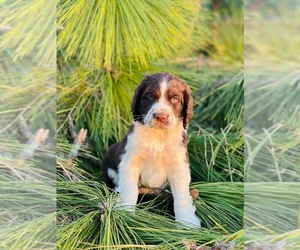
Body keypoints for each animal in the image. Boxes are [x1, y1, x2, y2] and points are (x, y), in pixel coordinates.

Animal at [102, 72, 200, 227]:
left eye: (175, 99)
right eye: (149, 97)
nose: (161, 116)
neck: (158, 135)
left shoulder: (179, 165)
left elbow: (182, 196)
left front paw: (187, 222)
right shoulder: (130, 161)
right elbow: (130, 188)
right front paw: (125, 211)